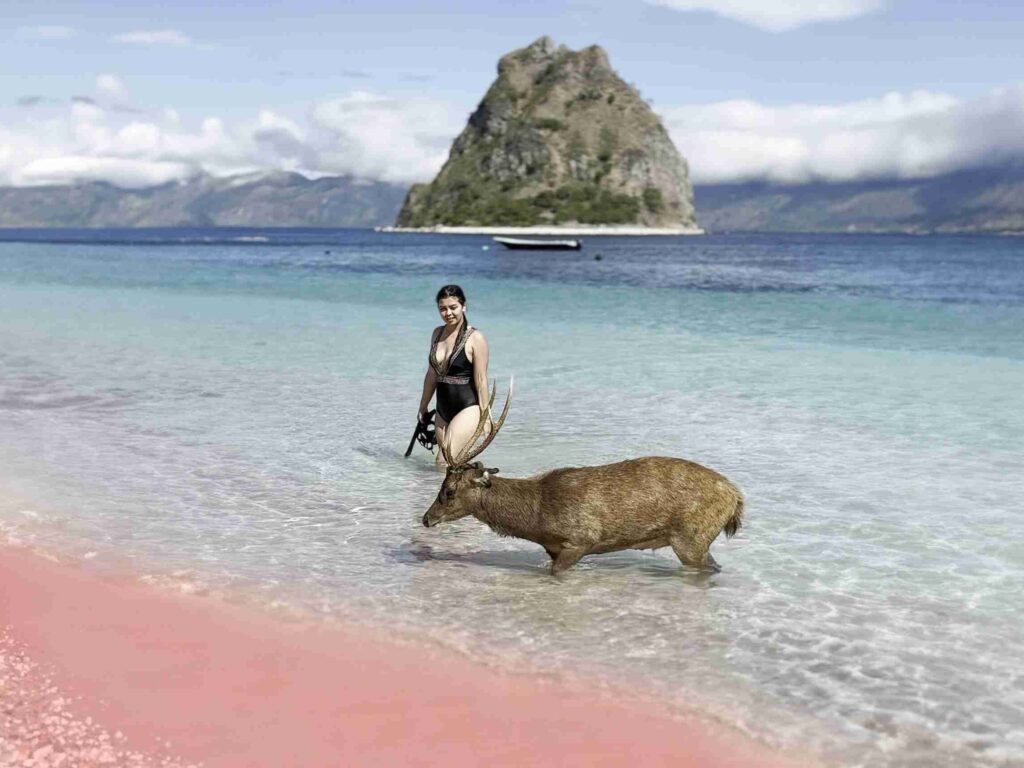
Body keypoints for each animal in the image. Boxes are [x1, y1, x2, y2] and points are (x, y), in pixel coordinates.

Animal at [419, 380, 749, 577]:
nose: (426, 518)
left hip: (692, 538)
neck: (537, 518)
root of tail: (736, 498)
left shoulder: (581, 539)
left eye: (449, 490)